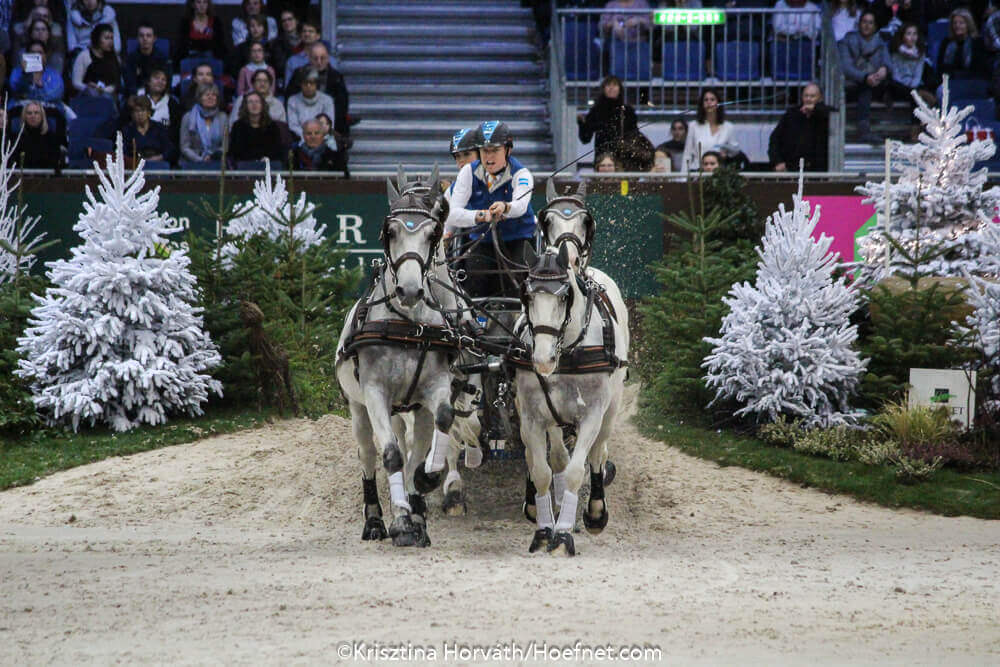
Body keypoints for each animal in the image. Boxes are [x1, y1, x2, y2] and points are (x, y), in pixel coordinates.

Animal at [336, 166, 463, 547]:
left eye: (433, 232)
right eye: (388, 231)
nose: (409, 290)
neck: (409, 326)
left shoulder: (435, 389)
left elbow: (443, 422)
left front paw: (424, 483)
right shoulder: (376, 393)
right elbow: (390, 455)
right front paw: (401, 522)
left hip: (413, 409)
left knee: (416, 447)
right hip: (358, 408)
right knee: (369, 453)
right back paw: (377, 519)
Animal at [512, 245, 629, 556]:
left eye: (564, 296)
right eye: (527, 296)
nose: (542, 359)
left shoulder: (591, 416)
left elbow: (577, 471)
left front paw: (563, 534)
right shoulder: (532, 417)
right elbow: (542, 471)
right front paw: (544, 530)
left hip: (610, 410)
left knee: (598, 454)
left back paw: (596, 512)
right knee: (555, 457)